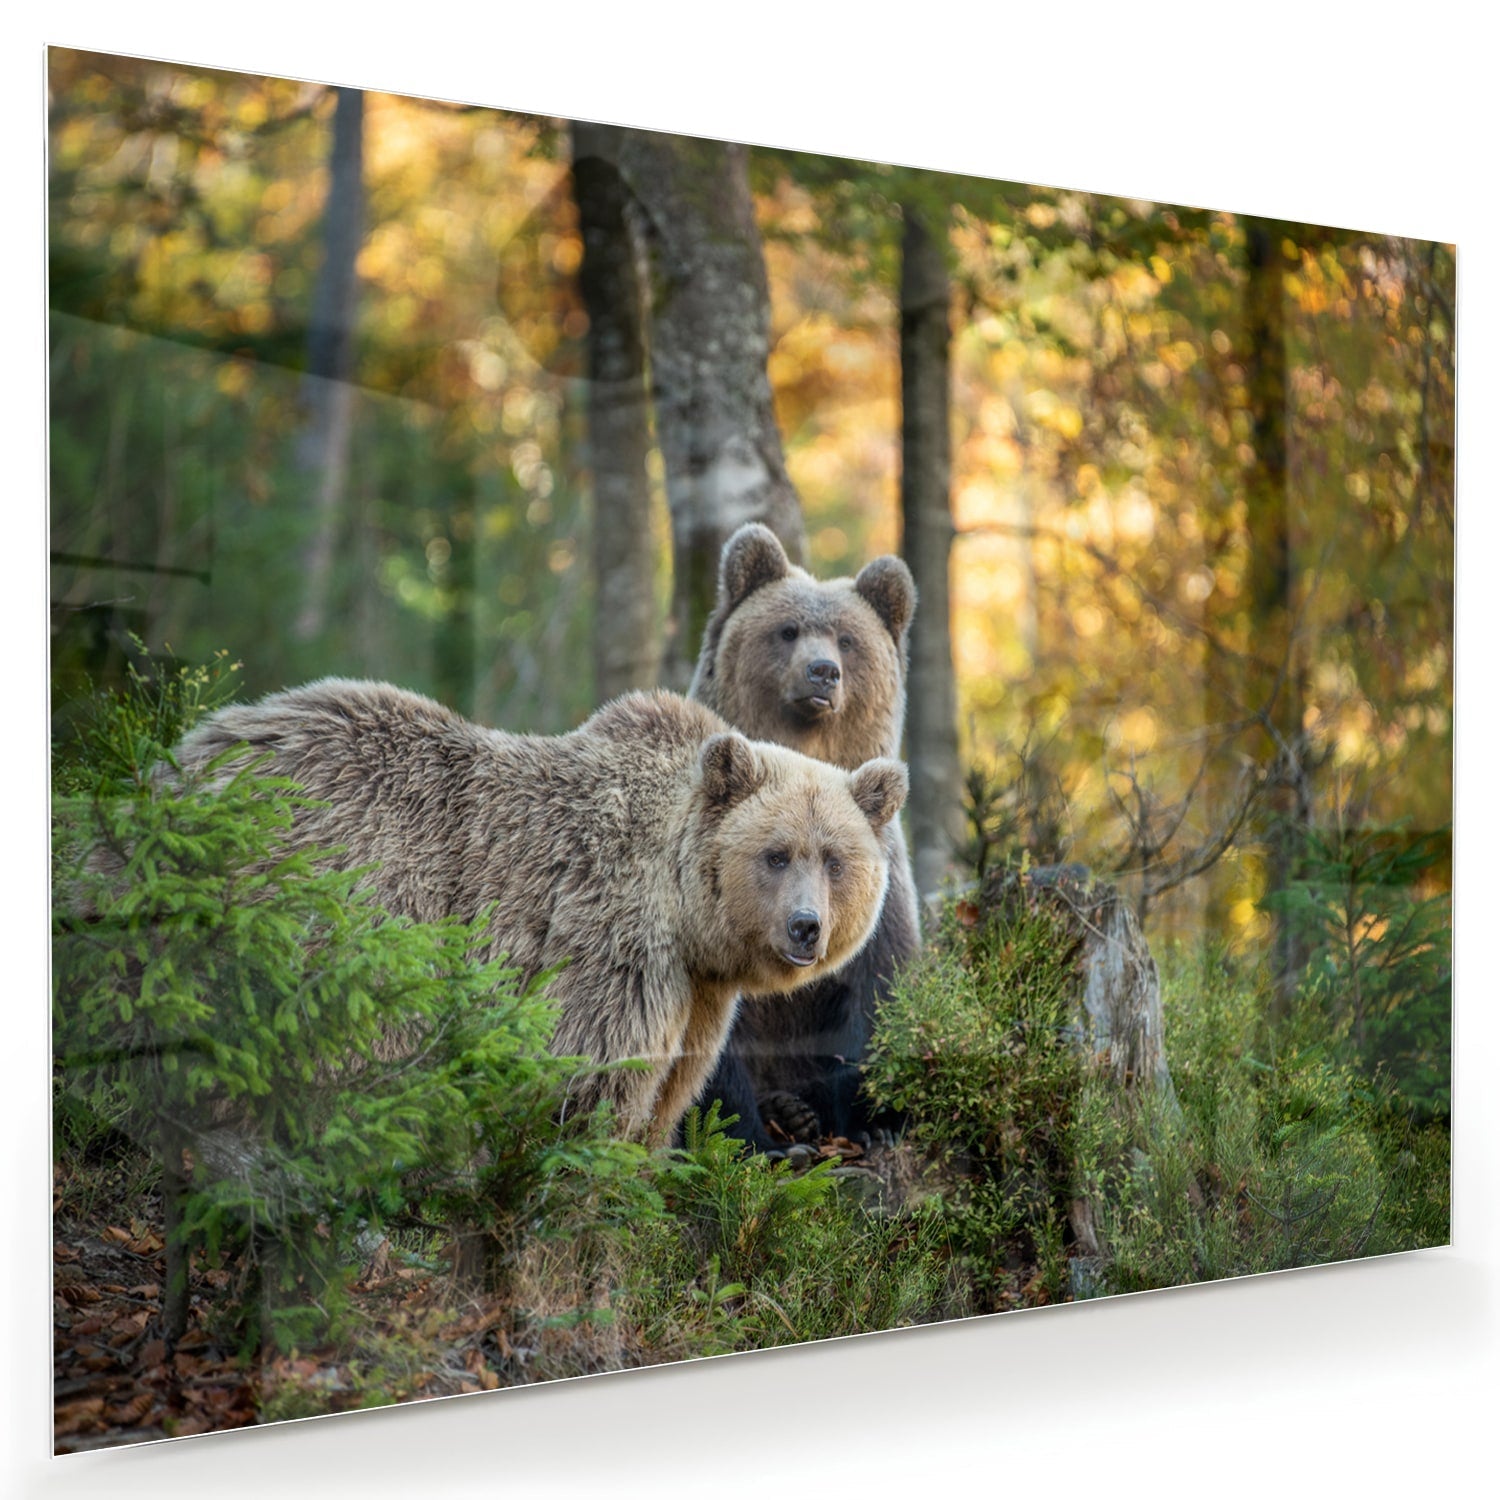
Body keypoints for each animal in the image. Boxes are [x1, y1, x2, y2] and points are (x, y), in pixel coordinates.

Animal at [171, 681, 907, 1146]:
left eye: (834, 858)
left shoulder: (697, 993)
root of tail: (189, 756)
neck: (689, 917)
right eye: (776, 854)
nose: (805, 927)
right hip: (329, 903)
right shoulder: (611, 942)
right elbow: (591, 1077)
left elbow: (672, 1088)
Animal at [687, 523, 921, 1150]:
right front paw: (752, 1139)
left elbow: (878, 990)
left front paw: (874, 1122)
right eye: (787, 630)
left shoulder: (879, 884)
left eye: (846, 639)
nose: (822, 671)